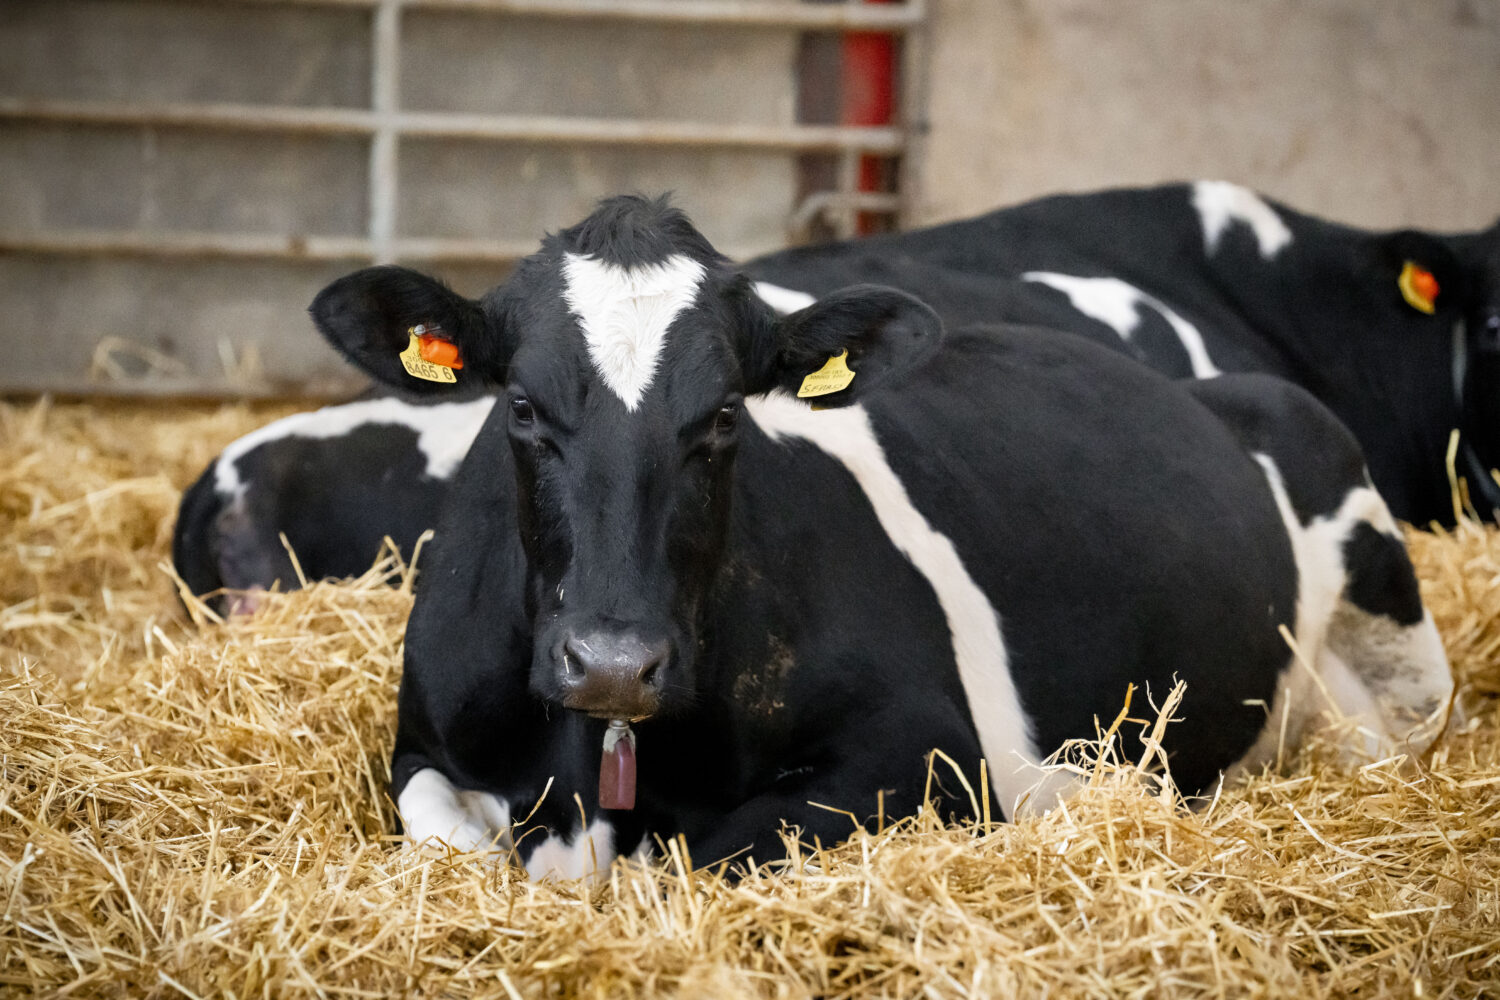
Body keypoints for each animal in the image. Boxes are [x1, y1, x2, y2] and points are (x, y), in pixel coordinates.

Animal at [304, 195, 1451, 879]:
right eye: (524, 409)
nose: (614, 662)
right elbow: (447, 837)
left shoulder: (926, 752)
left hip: (1397, 669)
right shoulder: (423, 748)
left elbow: (690, 858)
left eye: (725, 415)